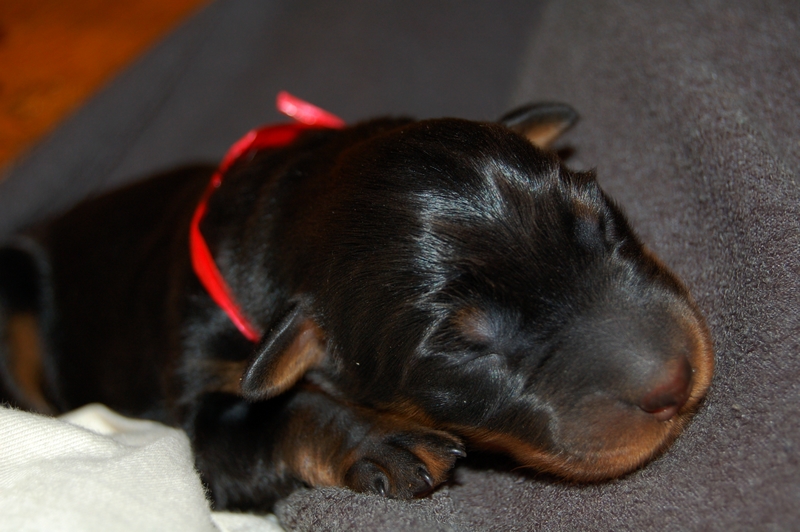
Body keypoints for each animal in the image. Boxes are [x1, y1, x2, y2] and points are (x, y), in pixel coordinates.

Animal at [0, 94, 714, 511]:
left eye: (599, 221)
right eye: (463, 346)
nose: (676, 383)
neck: (291, 193)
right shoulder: (195, 406)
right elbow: (273, 417)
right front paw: (379, 438)